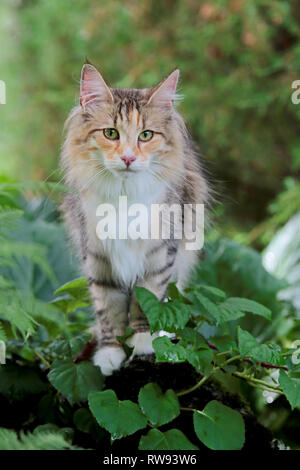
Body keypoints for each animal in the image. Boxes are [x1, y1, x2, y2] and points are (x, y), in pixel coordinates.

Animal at [61, 64, 209, 376]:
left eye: (146, 135)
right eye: (111, 133)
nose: (128, 158)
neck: (124, 195)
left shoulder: (159, 256)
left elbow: (147, 304)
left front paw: (144, 345)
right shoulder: (98, 260)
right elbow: (109, 311)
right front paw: (110, 354)